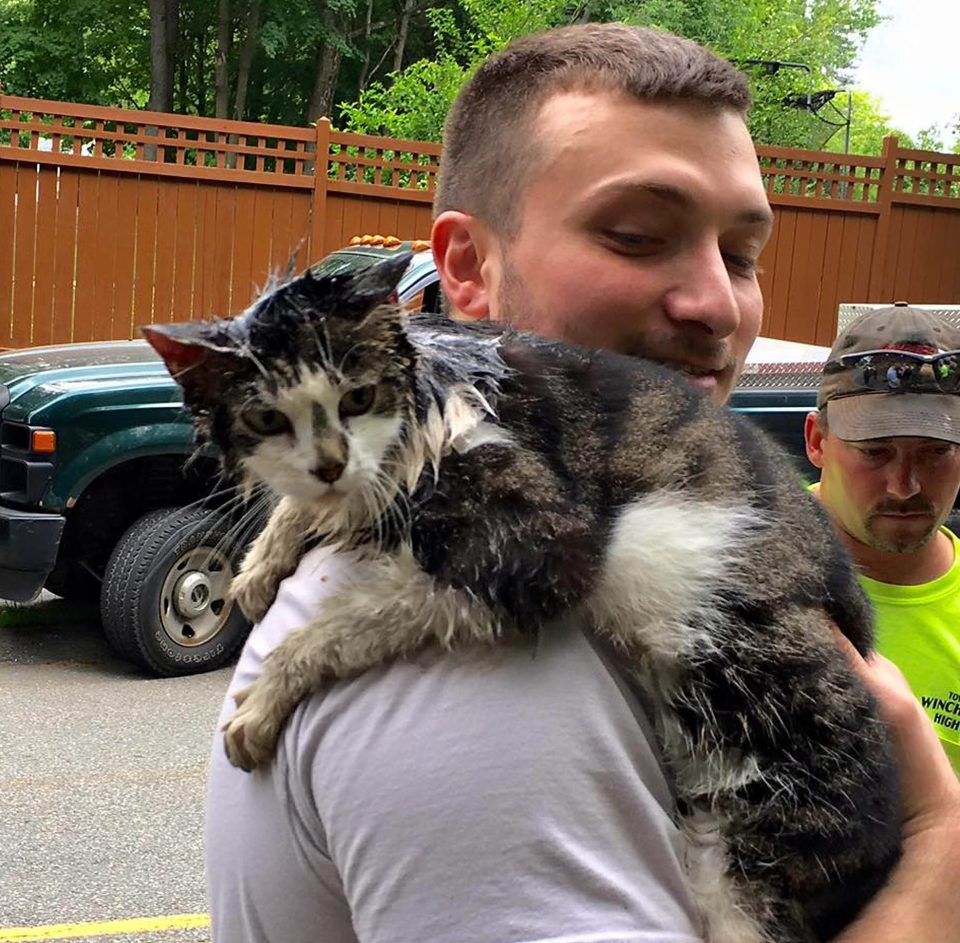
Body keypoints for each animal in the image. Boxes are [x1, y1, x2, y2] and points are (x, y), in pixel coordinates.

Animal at [142, 253, 900, 943]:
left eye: (357, 398)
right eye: (268, 419)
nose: (329, 462)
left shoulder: (541, 547)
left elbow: (347, 622)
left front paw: (263, 699)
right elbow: (326, 508)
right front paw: (262, 562)